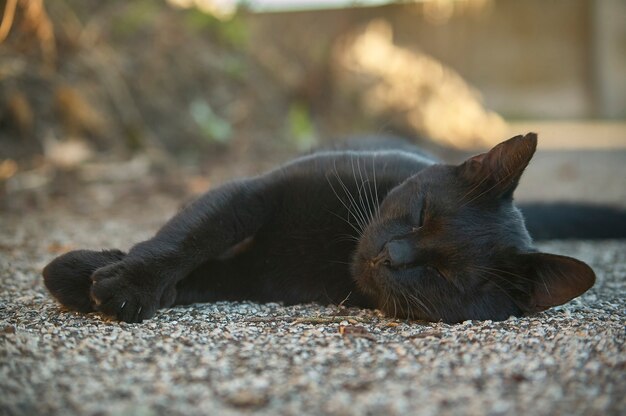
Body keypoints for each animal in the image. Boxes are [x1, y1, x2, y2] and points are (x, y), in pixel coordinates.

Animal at [42, 135, 608, 324]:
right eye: (422, 213)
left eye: (443, 276)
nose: (392, 255)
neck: (332, 247)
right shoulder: (252, 192)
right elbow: (190, 237)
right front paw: (109, 276)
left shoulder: (248, 277)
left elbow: (196, 273)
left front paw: (100, 284)